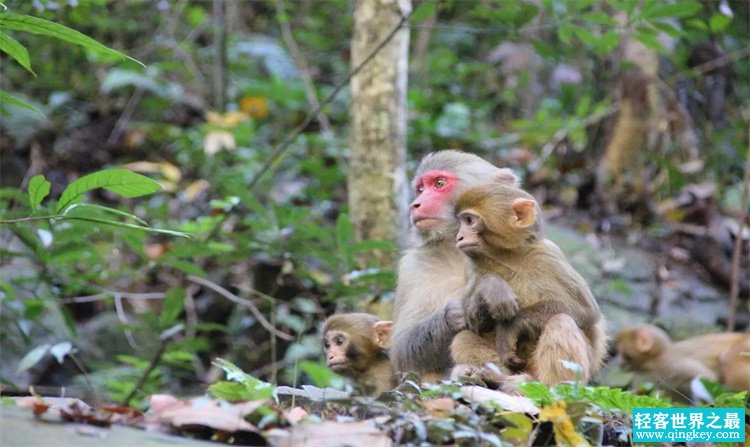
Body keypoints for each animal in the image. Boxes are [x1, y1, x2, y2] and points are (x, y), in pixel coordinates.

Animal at [452, 184, 612, 386]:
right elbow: (474, 323)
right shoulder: (472, 268)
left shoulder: (549, 256)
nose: (459, 237)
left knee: (562, 321)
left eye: (470, 220)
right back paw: (495, 377)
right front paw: (493, 287)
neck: (508, 257)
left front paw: (512, 326)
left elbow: (586, 311)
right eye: (462, 221)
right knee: (463, 337)